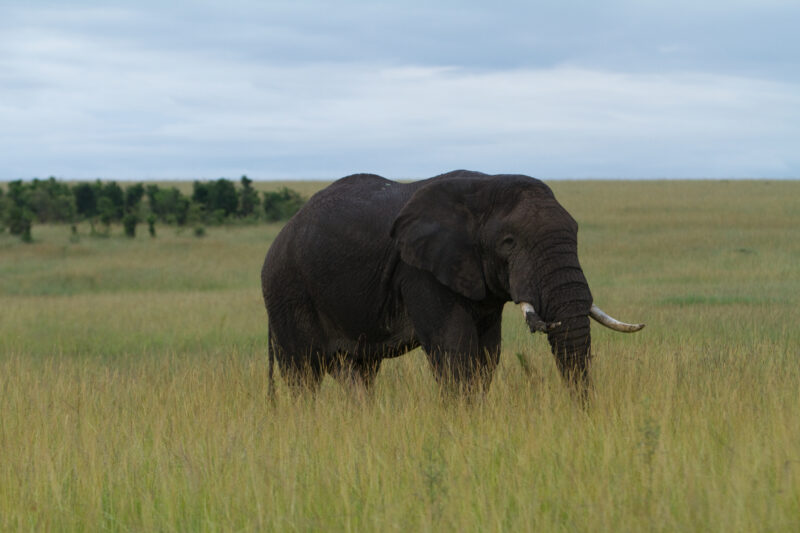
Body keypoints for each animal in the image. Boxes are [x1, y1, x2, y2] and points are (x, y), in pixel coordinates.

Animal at [261, 170, 643, 396]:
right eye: (509, 242)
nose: (583, 414)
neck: (484, 188)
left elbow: (486, 354)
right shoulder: (420, 270)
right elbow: (453, 348)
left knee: (359, 372)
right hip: (287, 289)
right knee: (302, 375)